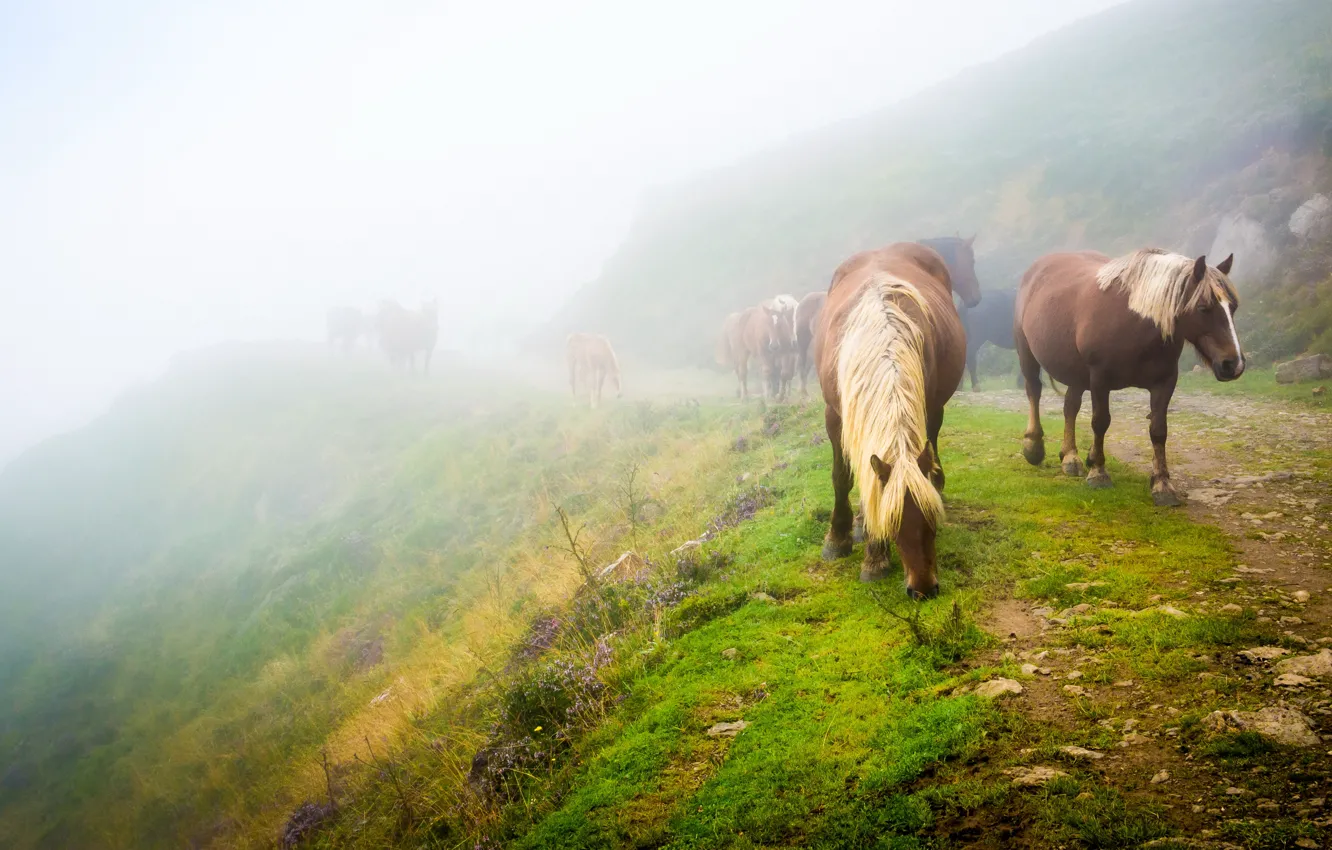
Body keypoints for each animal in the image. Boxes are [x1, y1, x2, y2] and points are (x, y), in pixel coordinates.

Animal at [809, 242, 969, 602]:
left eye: (932, 521)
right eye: (894, 524)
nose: (923, 589)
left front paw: (873, 555)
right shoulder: (834, 416)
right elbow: (842, 477)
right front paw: (840, 539)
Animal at [1017, 250, 1246, 508]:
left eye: (1233, 307)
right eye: (1203, 308)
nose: (1234, 364)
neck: (1134, 323)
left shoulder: (1164, 382)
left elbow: (1158, 430)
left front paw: (1162, 484)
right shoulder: (1099, 379)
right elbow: (1100, 422)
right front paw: (1098, 472)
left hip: (1076, 373)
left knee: (1070, 407)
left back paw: (1071, 457)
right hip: (1027, 353)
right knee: (1034, 391)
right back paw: (1033, 446)